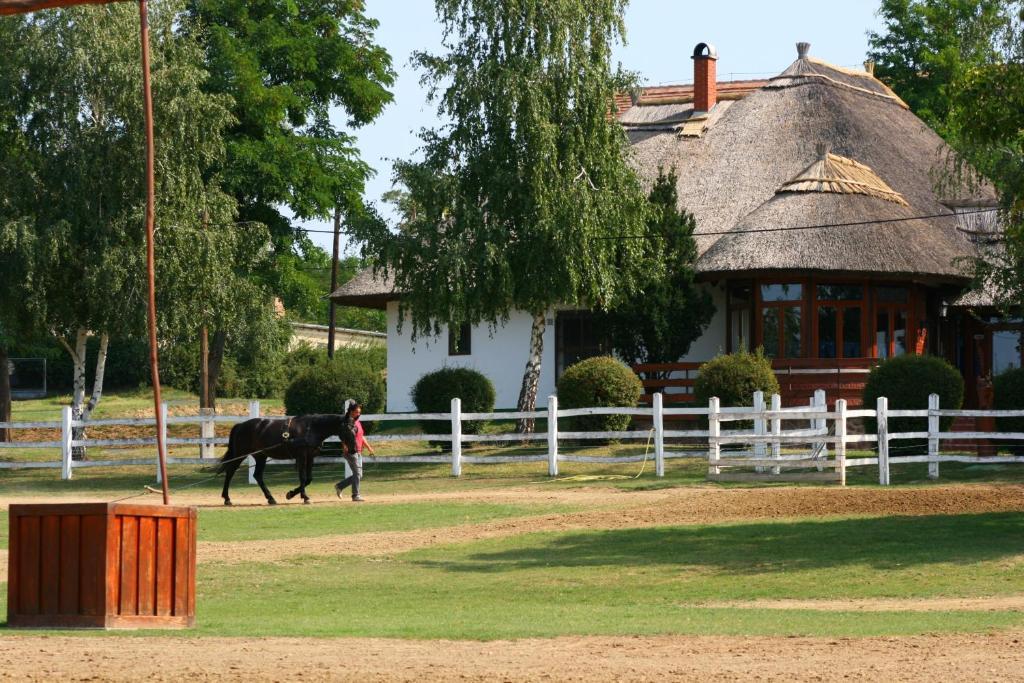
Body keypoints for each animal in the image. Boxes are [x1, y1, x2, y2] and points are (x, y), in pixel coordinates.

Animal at [217, 413, 356, 505]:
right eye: (347, 429)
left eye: (355, 429)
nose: (354, 449)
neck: (311, 429)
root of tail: (241, 425)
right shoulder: (302, 456)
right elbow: (303, 477)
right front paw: (305, 497)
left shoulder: (310, 457)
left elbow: (309, 479)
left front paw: (291, 494)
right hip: (240, 454)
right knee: (230, 472)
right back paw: (227, 498)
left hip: (261, 456)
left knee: (257, 476)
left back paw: (271, 498)